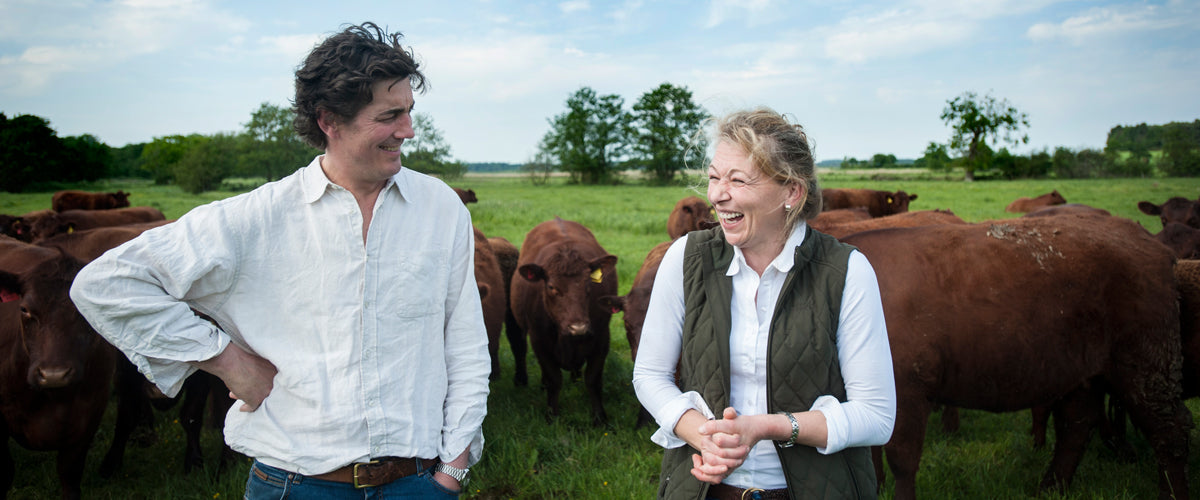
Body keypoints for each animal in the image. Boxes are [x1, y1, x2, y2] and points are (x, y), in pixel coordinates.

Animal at [508, 215, 619, 422]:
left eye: (588, 285)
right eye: (551, 287)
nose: (578, 327)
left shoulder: (602, 337)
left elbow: (593, 379)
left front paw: (600, 418)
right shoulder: (539, 340)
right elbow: (554, 379)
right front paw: (552, 416)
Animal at [840, 215, 1195, 498]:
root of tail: (1150, 243)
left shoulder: (908, 389)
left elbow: (902, 461)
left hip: (1146, 365)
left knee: (1170, 432)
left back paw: (1171, 494)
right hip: (1083, 372)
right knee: (1077, 425)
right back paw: (1050, 487)